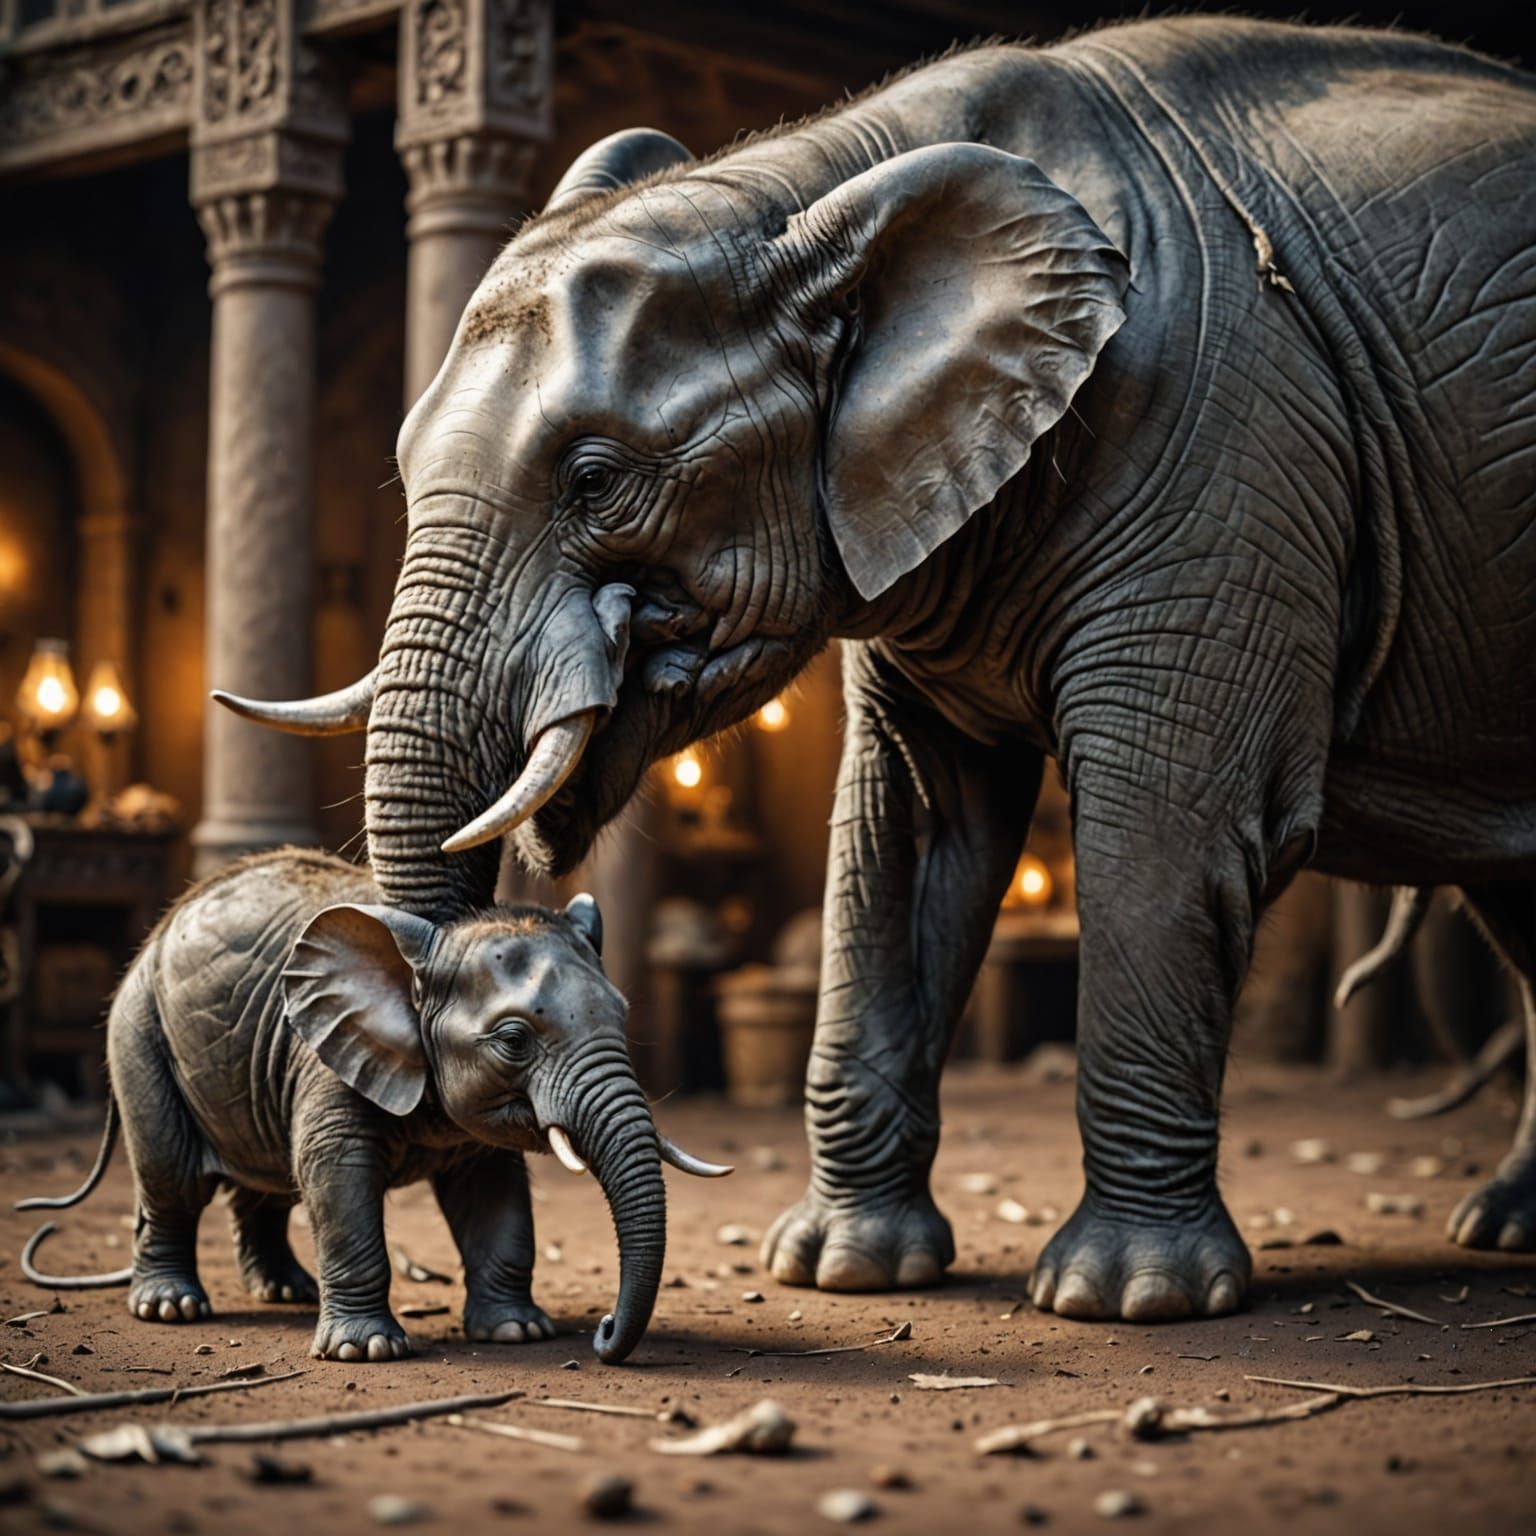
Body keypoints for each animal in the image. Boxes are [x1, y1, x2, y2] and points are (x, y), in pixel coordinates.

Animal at [16, 849, 728, 1362]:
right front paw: (369, 1351)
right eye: (514, 1040)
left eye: (624, 1016)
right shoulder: (325, 1058)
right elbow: (337, 1174)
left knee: (265, 1182)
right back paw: (171, 1308)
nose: (604, 1329)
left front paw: (519, 1333)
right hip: (139, 1031)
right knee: (171, 1177)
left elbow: (494, 1193)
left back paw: (286, 1291)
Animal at [219, 16, 1536, 1322]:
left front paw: (1124, 1296)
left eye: (595, 480)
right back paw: (1506, 1228)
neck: (818, 177)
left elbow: (1165, 828)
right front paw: (842, 1266)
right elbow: (905, 836)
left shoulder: (1219, 459)